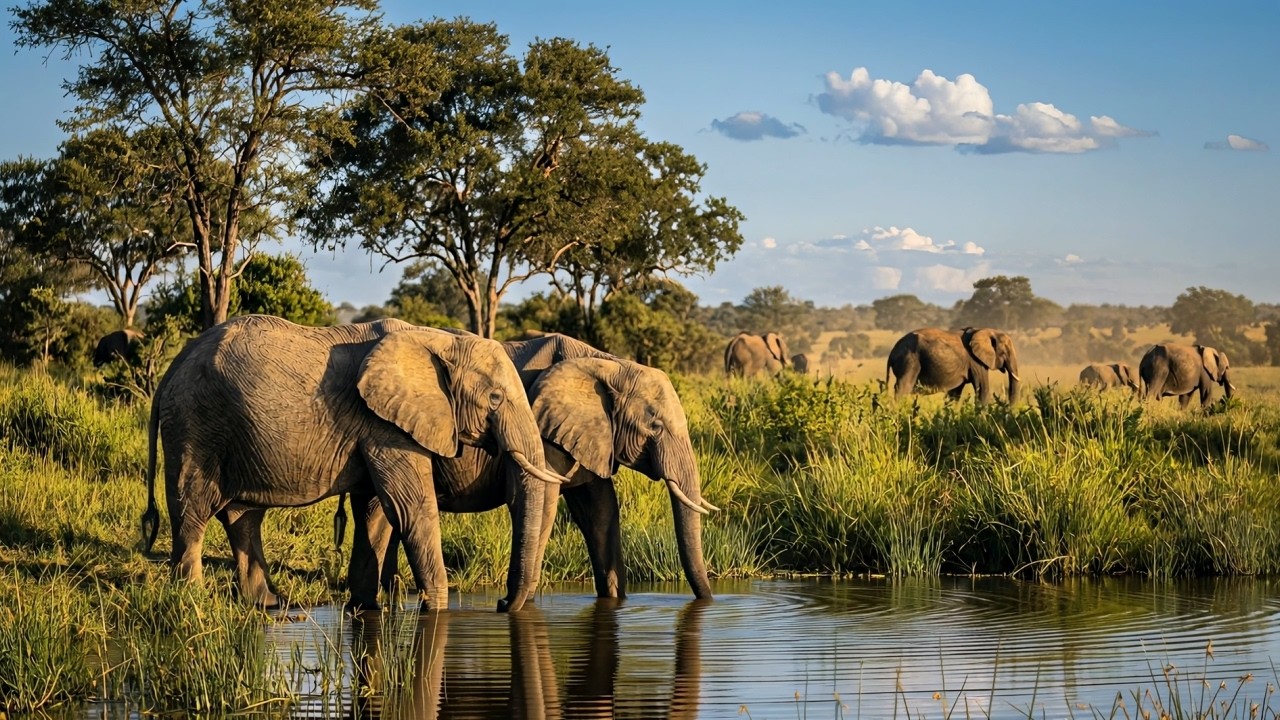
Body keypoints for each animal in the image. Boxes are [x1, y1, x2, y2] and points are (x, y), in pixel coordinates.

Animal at [139, 315, 564, 612]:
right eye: (495, 398)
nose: (501, 605)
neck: (437, 339)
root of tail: (174, 365)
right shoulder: (386, 426)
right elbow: (411, 508)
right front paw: (436, 611)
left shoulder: (380, 425)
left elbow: (375, 512)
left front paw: (366, 607)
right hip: (194, 424)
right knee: (193, 510)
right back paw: (191, 600)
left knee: (243, 516)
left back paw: (268, 605)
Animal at [885, 327, 1021, 404]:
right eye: (1005, 352)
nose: (1008, 407)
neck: (986, 330)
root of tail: (892, 352)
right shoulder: (975, 361)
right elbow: (983, 389)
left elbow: (954, 394)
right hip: (909, 360)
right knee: (903, 387)